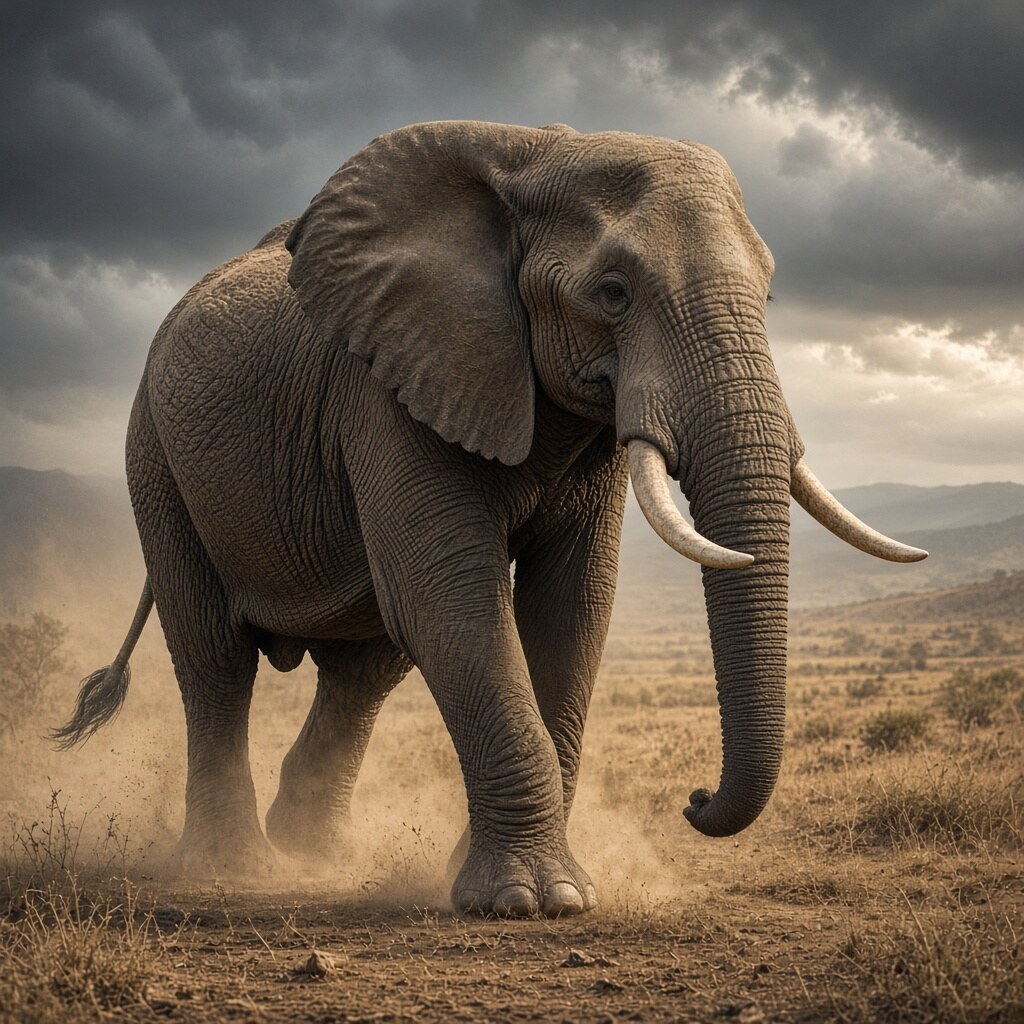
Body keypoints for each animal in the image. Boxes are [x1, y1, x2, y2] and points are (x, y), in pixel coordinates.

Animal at [55, 121, 926, 917]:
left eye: (770, 294)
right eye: (613, 291)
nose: (695, 798)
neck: (536, 155)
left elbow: (571, 605)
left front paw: (529, 887)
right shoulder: (388, 387)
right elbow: (454, 599)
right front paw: (530, 901)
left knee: (362, 669)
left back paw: (320, 856)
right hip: (156, 456)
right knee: (215, 654)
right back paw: (237, 869)